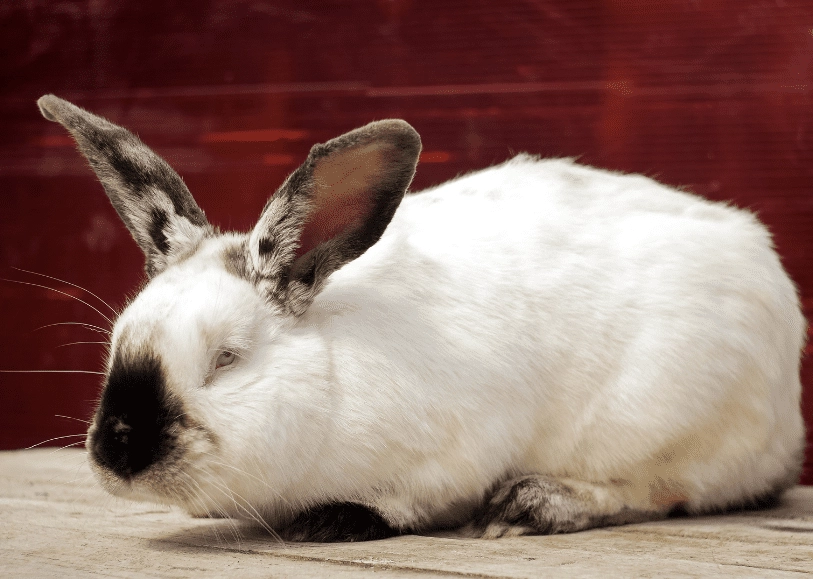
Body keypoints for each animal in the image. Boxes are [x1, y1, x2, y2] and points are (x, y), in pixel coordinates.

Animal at [36, 94, 806, 542]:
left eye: (226, 358)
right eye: (117, 344)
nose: (118, 450)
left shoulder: (451, 455)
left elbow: (415, 502)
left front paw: (336, 518)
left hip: (668, 425)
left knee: (666, 491)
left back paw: (534, 504)